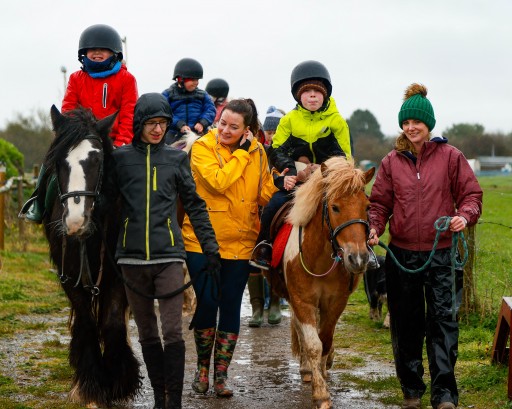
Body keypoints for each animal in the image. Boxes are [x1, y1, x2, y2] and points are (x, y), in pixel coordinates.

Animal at [38, 105, 140, 404]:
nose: (75, 221)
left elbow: (112, 321)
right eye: (59, 161)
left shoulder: (117, 276)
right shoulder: (70, 276)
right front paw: (91, 385)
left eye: (96, 159)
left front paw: (119, 381)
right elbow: (86, 322)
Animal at [270, 156, 374, 408]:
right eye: (335, 207)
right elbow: (313, 343)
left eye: (367, 207)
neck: (319, 258)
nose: (358, 258)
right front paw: (320, 394)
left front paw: (324, 377)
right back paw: (307, 369)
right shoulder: (301, 300)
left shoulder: (336, 303)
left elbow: (325, 340)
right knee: (301, 329)